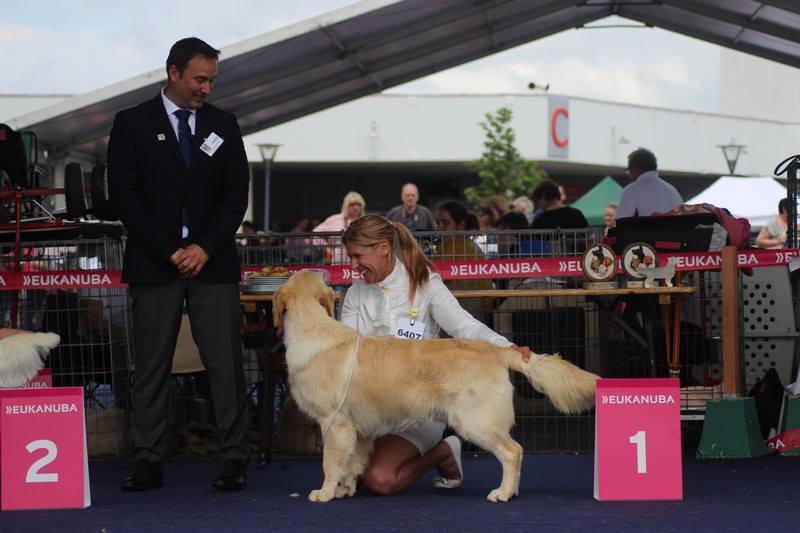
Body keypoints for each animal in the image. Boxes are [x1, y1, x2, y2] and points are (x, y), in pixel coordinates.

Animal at [272, 272, 596, 500]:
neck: (312, 328)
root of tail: (497, 351)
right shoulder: (357, 429)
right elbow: (352, 464)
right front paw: (345, 490)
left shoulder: (334, 422)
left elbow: (330, 464)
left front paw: (325, 493)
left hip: (475, 421)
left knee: (513, 451)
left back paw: (503, 493)